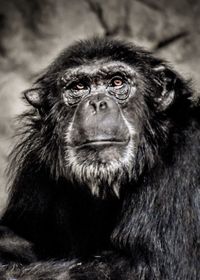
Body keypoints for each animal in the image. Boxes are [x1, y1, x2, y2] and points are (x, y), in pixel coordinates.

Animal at [0, 37, 199, 280]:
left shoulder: (184, 157)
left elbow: (150, 267)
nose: (96, 102)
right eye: (78, 87)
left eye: (116, 82)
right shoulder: (35, 170)